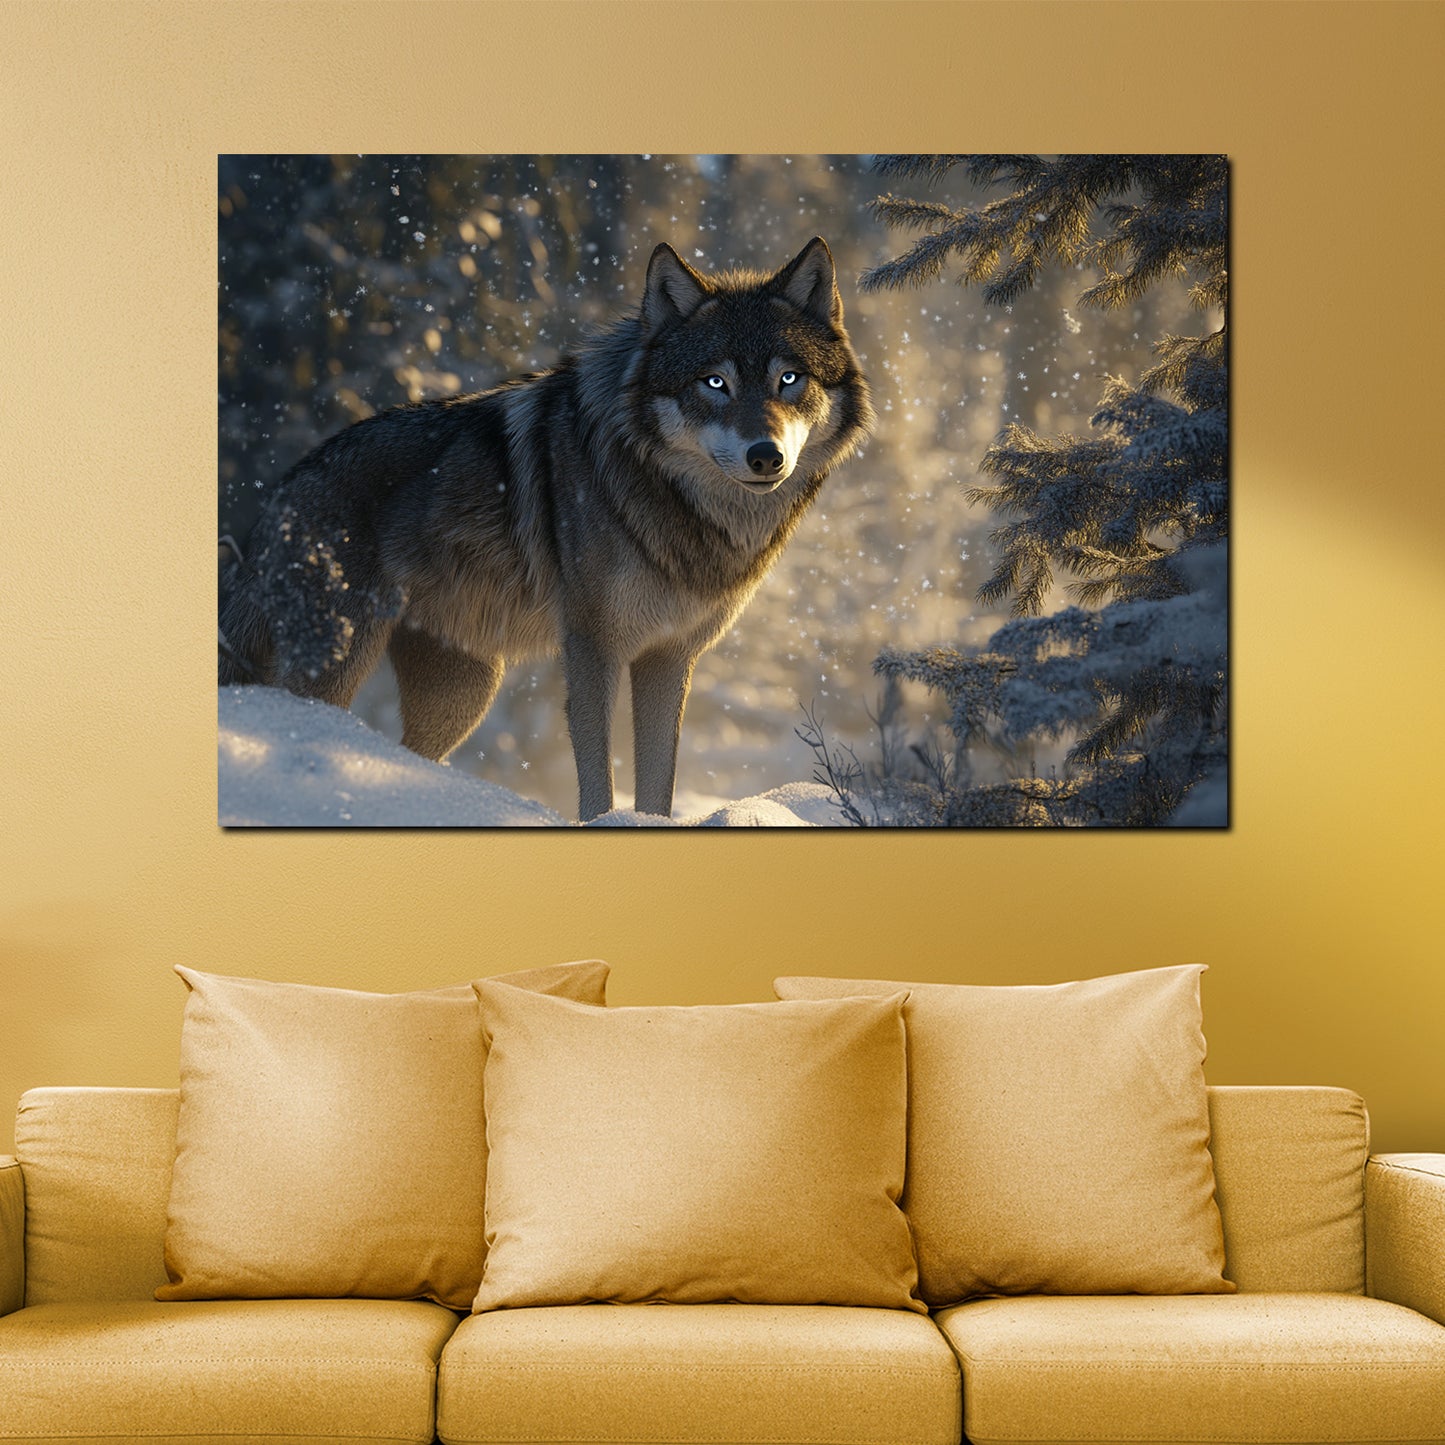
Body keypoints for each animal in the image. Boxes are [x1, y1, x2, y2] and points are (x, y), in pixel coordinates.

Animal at [220, 237, 874, 821]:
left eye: (789, 379)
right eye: (715, 383)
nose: (766, 456)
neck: (681, 511)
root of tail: (279, 497)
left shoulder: (669, 657)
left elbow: (658, 784)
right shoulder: (592, 646)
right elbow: (598, 777)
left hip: (463, 694)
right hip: (338, 665)